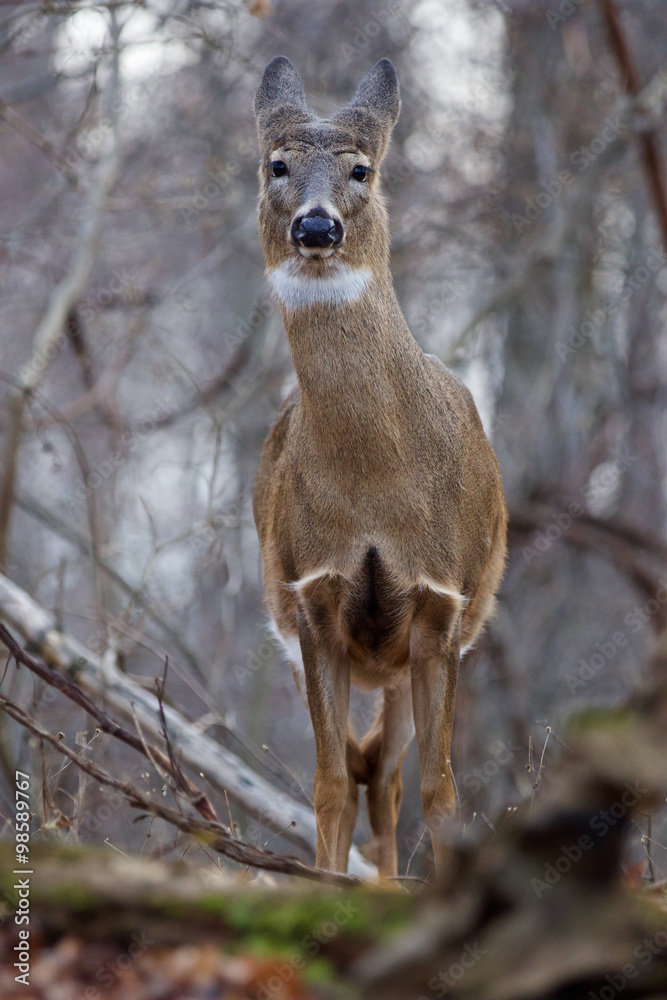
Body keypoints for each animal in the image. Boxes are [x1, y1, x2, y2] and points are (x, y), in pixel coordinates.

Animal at [252, 56, 507, 878]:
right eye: (276, 165)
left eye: (361, 168)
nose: (316, 225)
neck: (373, 487)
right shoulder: (311, 602)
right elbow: (328, 783)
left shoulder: (442, 605)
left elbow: (441, 788)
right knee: (365, 774)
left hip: (408, 658)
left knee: (390, 780)